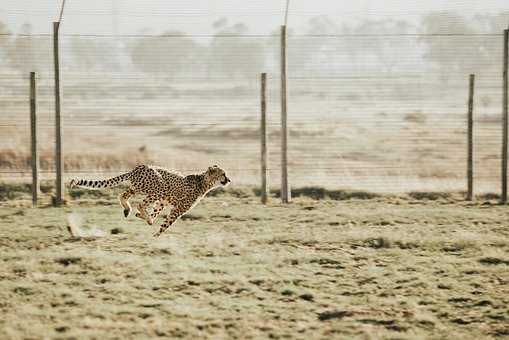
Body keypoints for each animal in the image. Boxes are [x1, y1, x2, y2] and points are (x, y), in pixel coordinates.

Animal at [69, 165, 230, 236]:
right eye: (223, 174)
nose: (229, 180)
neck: (204, 182)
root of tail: (137, 168)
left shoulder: (162, 202)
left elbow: (156, 212)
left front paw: (146, 218)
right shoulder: (178, 209)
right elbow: (166, 224)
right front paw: (156, 234)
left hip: (138, 188)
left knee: (123, 195)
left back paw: (128, 210)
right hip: (158, 188)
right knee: (140, 203)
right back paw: (140, 214)